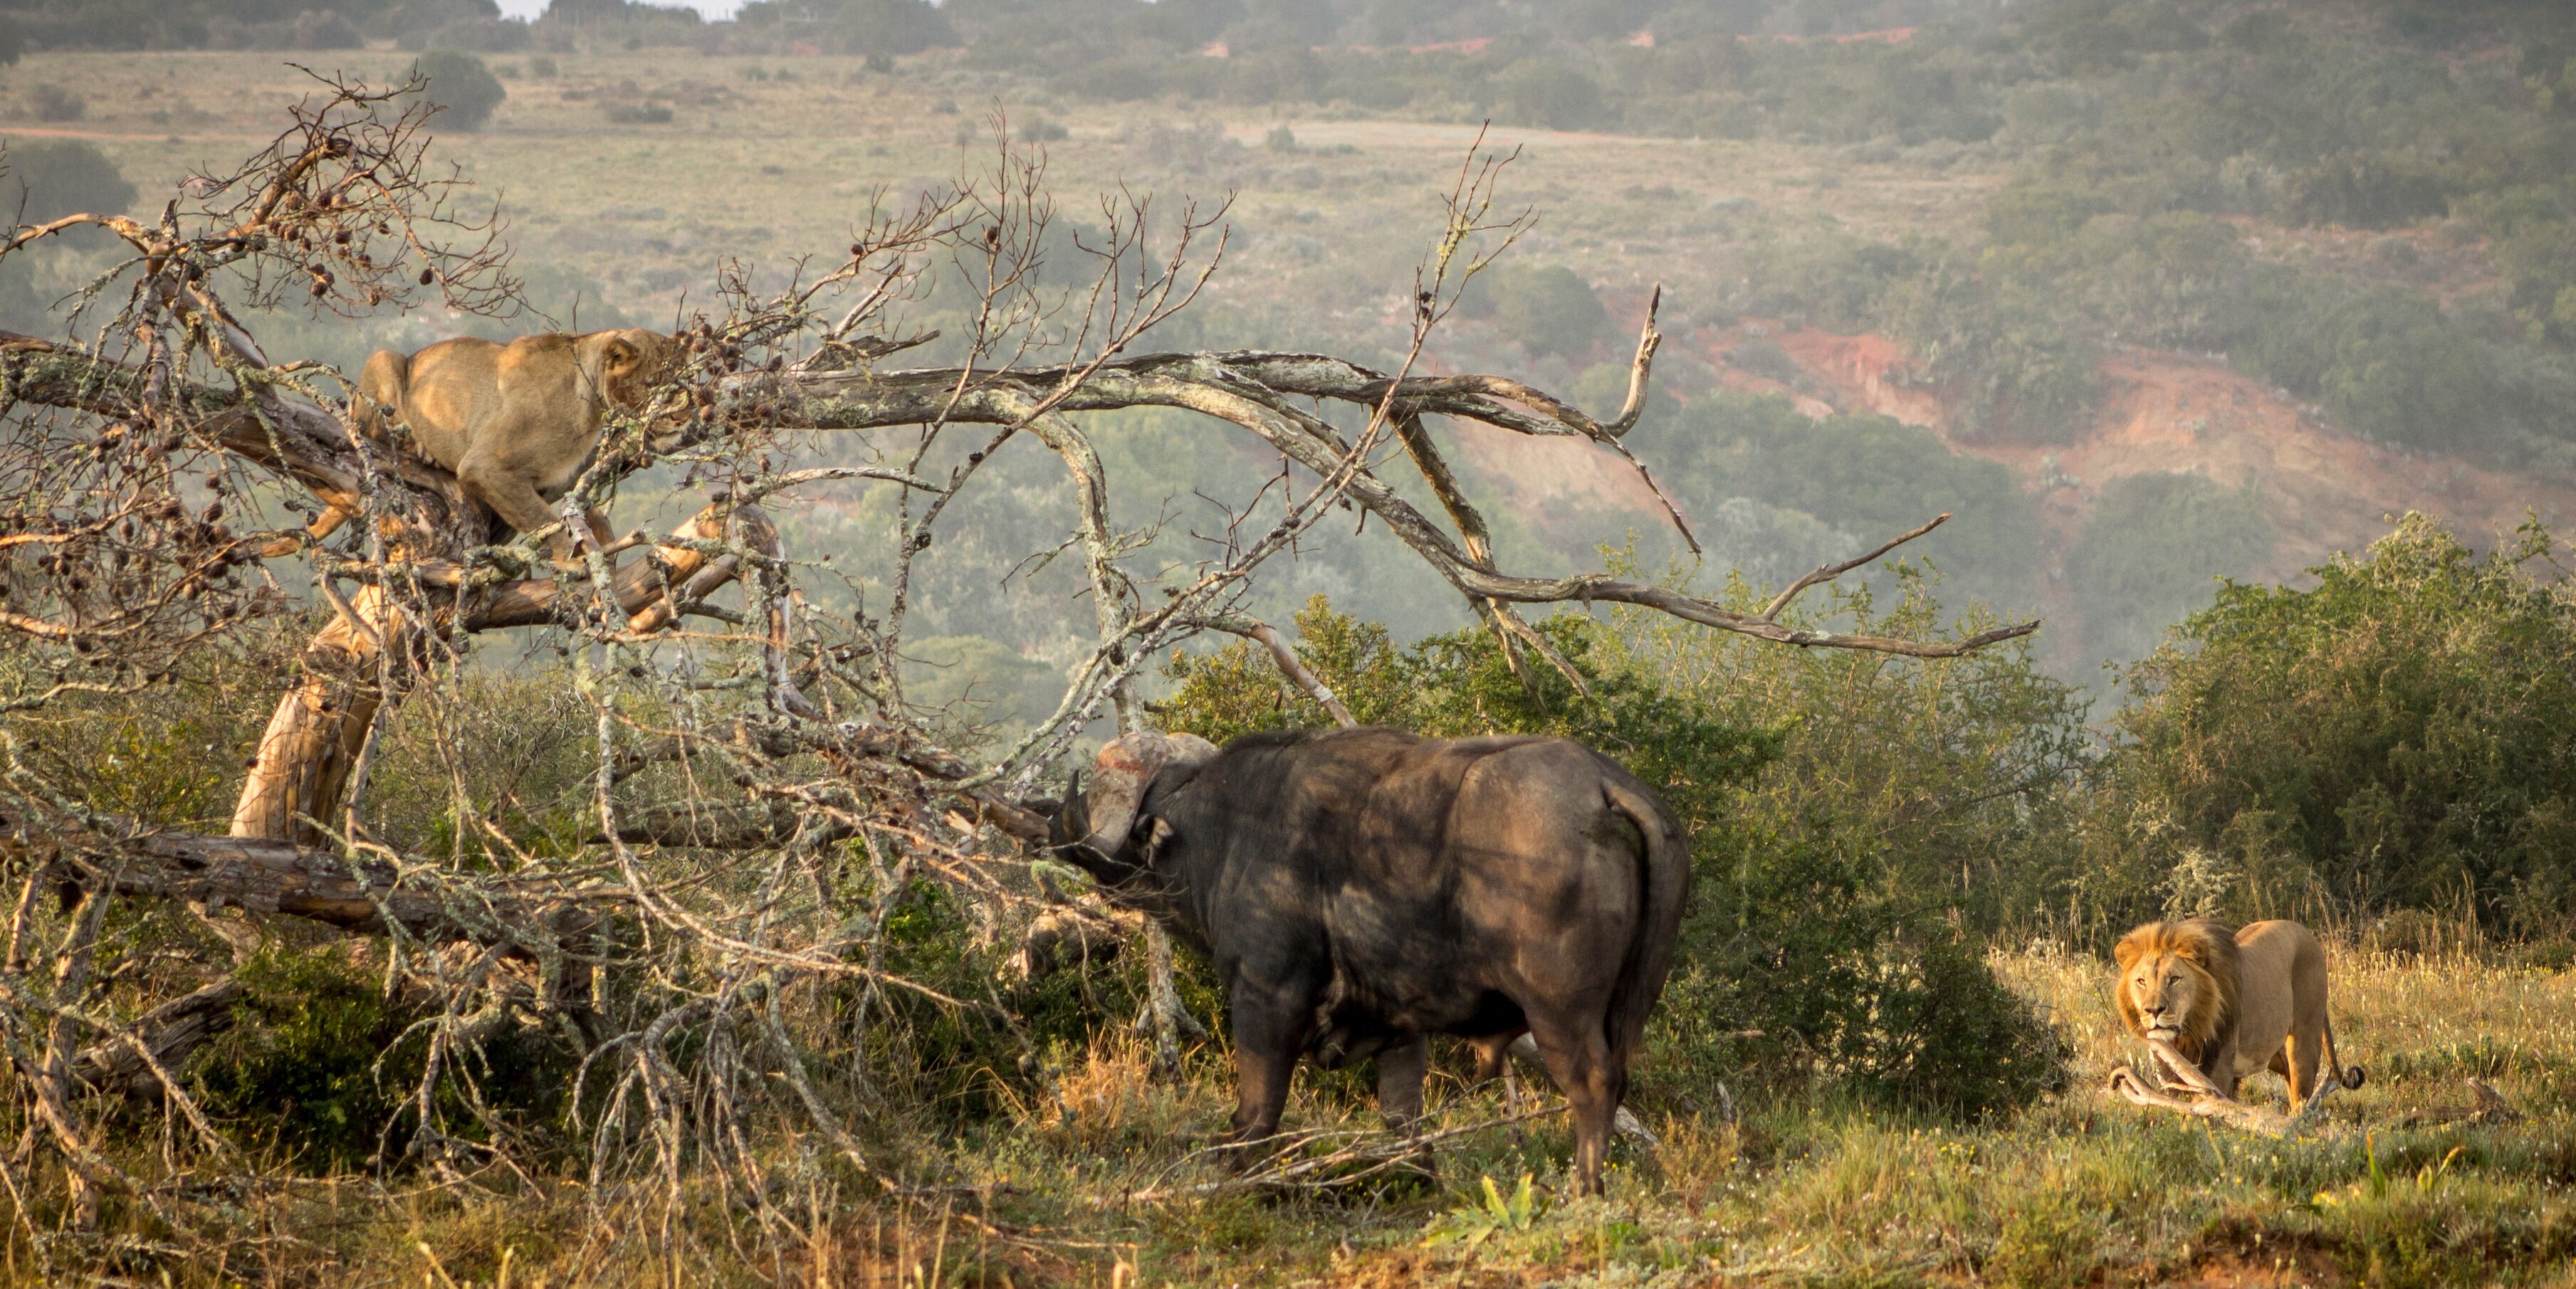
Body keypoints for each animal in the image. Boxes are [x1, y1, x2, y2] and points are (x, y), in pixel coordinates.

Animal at [278, 328, 676, 566]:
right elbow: (543, 521)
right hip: (385, 358)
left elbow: (583, 514)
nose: (682, 415)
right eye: (654, 384)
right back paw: (418, 447)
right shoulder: (485, 465)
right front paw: (574, 559)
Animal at [1047, 725, 1688, 1193]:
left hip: (1559, 1011)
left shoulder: (1267, 993)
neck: (1228, 830)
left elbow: (1256, 1111)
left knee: (1593, 1084)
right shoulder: (1400, 1025)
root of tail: (1603, 784)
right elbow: (1404, 1121)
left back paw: (1585, 1190)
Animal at [2114, 918, 2363, 1111]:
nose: (2153, 1010)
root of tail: (2307, 934)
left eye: (2174, 979)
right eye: (2141, 981)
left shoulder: (2219, 1068)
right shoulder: (2173, 1070)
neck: (2191, 1031)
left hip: (2303, 1044)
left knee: (2301, 1099)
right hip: (2275, 1053)